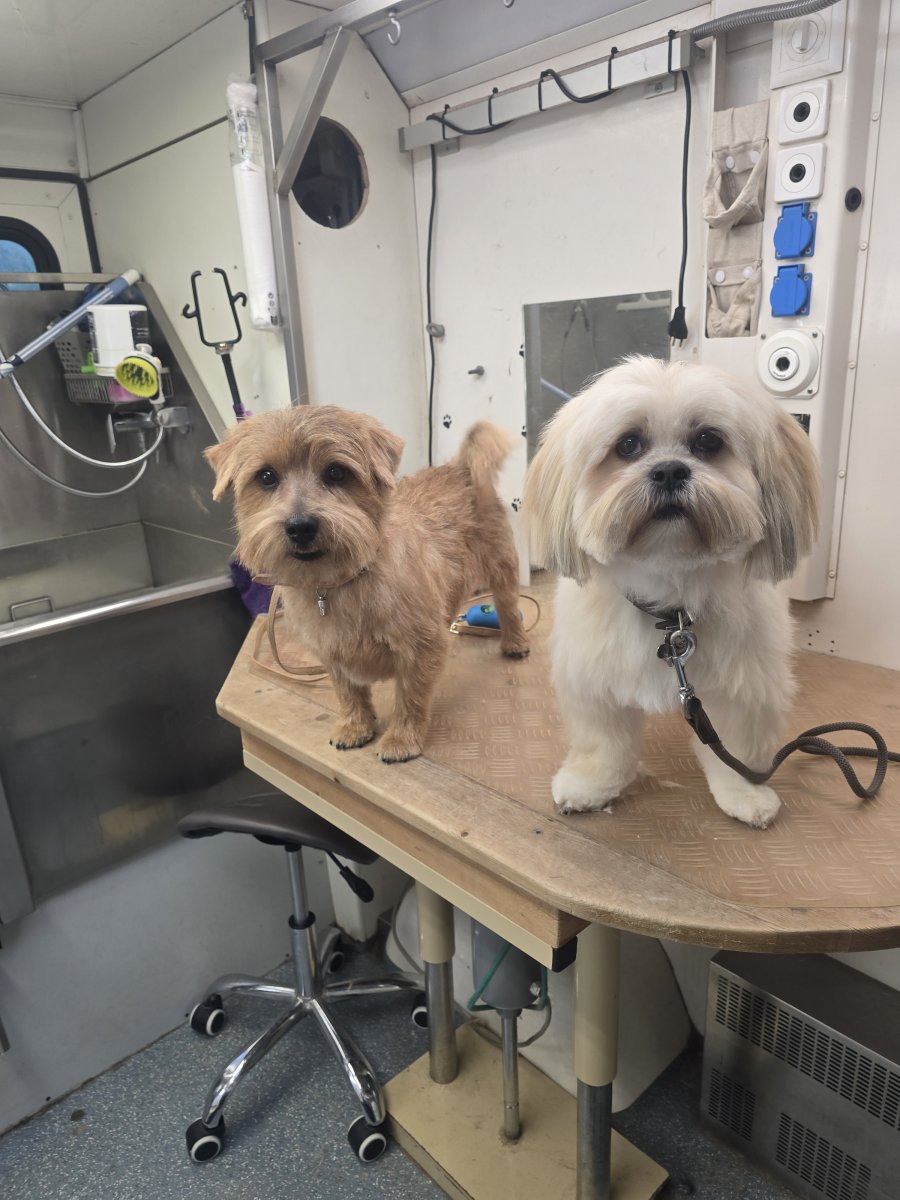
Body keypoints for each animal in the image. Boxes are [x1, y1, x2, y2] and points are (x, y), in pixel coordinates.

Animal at [206, 405, 529, 764]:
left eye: (336, 472)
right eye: (266, 476)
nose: (300, 527)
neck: (339, 582)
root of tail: (459, 468)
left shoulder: (422, 650)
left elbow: (411, 698)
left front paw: (401, 738)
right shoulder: (331, 655)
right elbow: (349, 694)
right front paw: (355, 727)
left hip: (503, 568)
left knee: (508, 607)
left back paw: (515, 642)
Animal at [523, 356, 820, 828]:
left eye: (708, 440)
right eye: (628, 445)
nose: (668, 470)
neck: (669, 604)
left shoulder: (743, 684)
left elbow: (735, 747)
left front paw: (745, 794)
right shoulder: (593, 675)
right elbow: (604, 743)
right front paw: (591, 784)